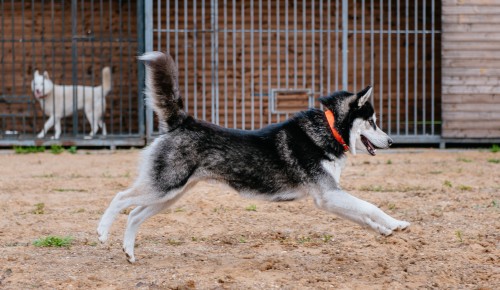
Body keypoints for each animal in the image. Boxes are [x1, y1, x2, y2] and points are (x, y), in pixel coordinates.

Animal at [97, 51, 410, 262]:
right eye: (373, 122)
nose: (392, 141)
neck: (329, 129)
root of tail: (183, 121)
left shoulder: (329, 198)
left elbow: (363, 215)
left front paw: (383, 231)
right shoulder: (329, 195)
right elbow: (371, 206)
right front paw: (396, 223)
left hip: (169, 195)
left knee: (134, 214)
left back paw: (129, 252)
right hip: (164, 187)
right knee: (120, 199)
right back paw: (101, 232)